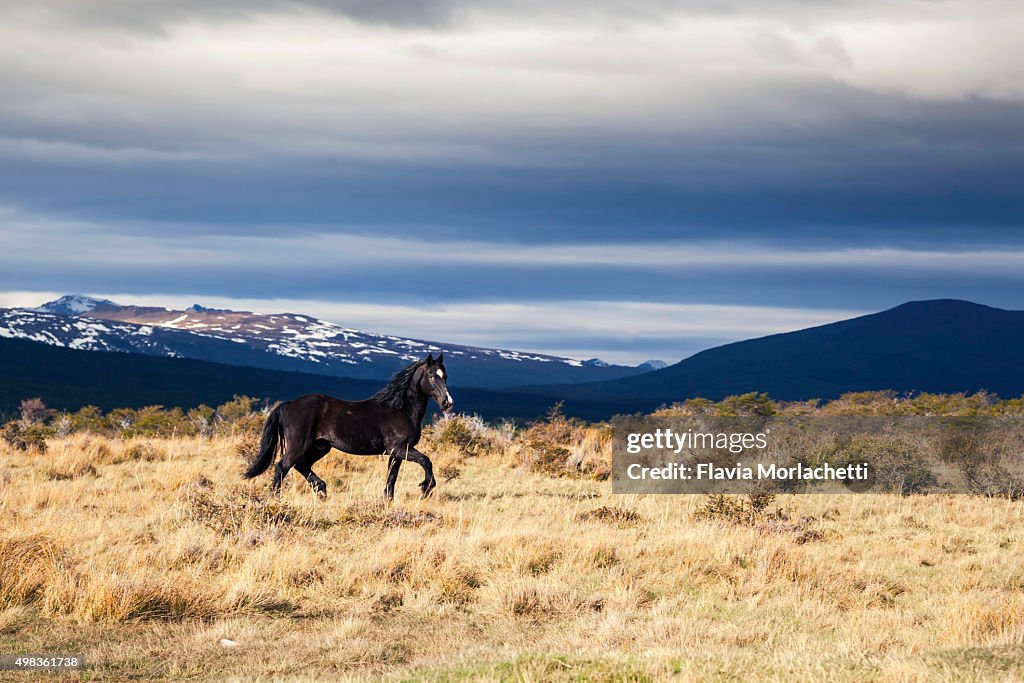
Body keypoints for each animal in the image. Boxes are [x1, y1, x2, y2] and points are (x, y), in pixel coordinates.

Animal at [241, 356, 454, 499]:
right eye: (431, 376)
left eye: (445, 376)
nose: (447, 402)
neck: (400, 409)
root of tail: (290, 404)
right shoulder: (400, 449)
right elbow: (426, 461)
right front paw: (426, 488)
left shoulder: (396, 453)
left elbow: (392, 478)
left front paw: (388, 501)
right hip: (299, 446)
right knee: (282, 467)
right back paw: (277, 499)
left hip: (320, 447)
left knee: (302, 466)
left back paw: (322, 491)